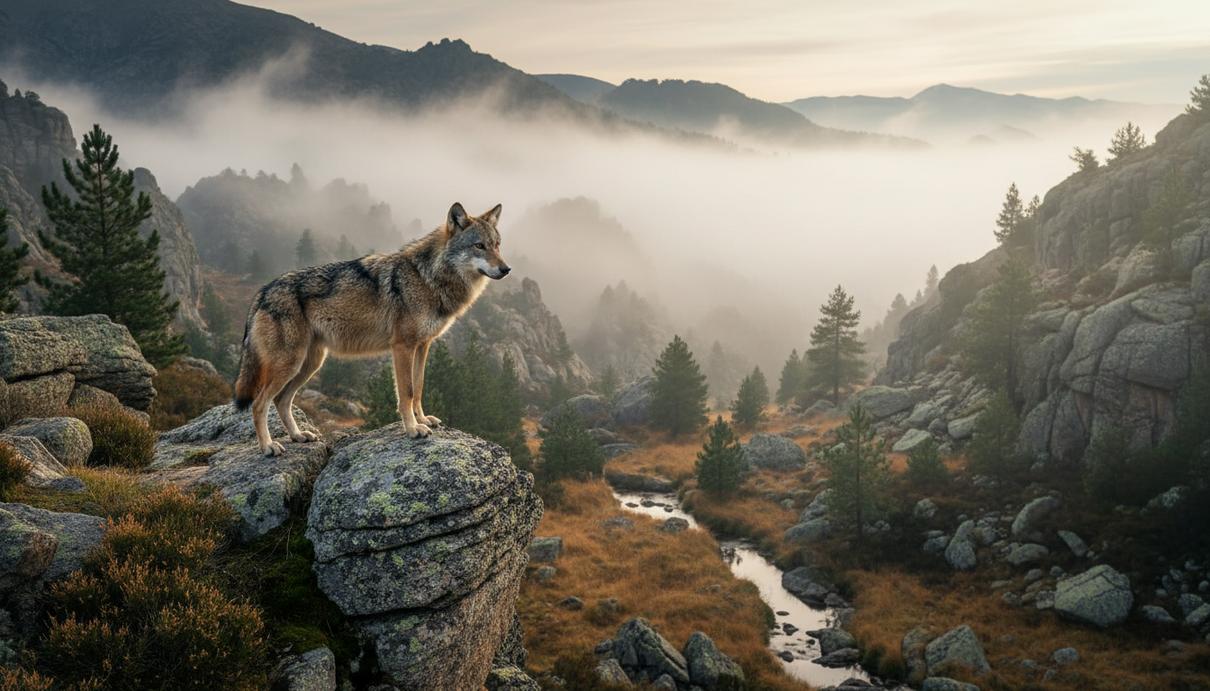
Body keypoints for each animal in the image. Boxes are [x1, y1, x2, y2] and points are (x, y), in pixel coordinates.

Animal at [233, 202, 510, 456]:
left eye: (497, 244)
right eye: (479, 246)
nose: (506, 269)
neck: (428, 277)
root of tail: (262, 293)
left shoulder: (423, 346)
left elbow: (419, 387)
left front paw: (422, 420)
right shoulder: (402, 347)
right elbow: (407, 392)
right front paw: (412, 429)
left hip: (309, 364)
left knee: (281, 401)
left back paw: (299, 435)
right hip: (290, 364)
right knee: (259, 404)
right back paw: (268, 446)